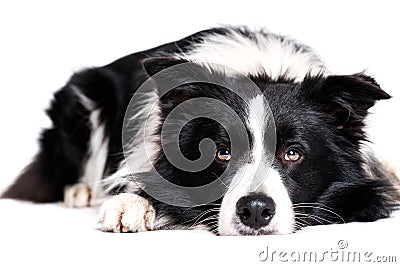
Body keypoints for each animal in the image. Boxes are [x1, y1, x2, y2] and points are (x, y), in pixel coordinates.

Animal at [1, 26, 398, 237]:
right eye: (222, 152)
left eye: (293, 153)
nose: (255, 211)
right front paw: (129, 204)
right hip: (82, 96)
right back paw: (81, 191)